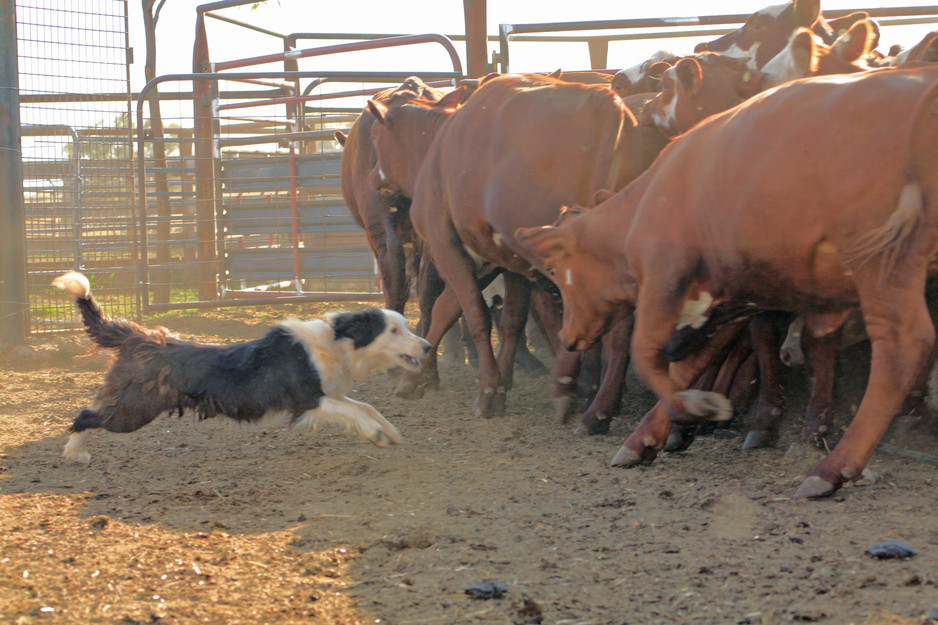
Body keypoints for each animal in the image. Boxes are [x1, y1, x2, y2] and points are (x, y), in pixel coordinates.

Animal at [53, 270, 430, 460]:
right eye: (394, 330)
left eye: (405, 326)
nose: (427, 346)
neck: (336, 343)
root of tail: (137, 336)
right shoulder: (308, 400)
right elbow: (355, 411)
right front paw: (375, 434)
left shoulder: (329, 395)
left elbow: (366, 407)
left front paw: (388, 433)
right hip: (133, 411)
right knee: (85, 416)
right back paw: (74, 452)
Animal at [366, 72, 664, 414]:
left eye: (374, 136)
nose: (371, 177)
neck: (436, 146)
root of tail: (607, 102)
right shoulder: (501, 262)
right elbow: (489, 317)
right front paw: (420, 379)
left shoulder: (447, 247)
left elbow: (475, 314)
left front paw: (490, 389)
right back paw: (599, 401)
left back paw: (575, 389)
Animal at [516, 68, 936, 498]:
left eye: (555, 272)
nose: (567, 338)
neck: (648, 200)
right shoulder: (730, 299)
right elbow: (688, 365)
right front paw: (647, 438)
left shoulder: (665, 279)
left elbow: (646, 355)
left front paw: (694, 409)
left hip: (880, 262)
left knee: (901, 348)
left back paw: (832, 469)